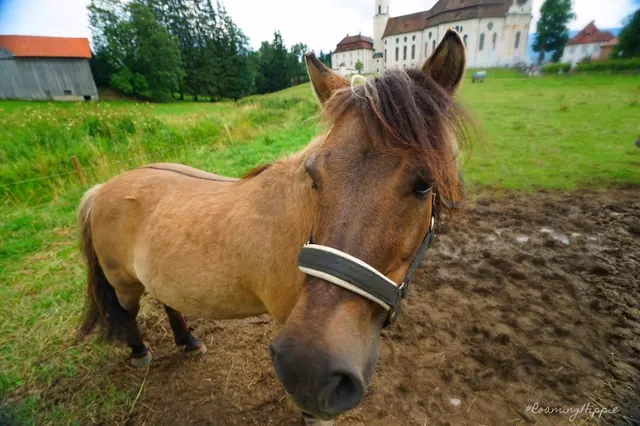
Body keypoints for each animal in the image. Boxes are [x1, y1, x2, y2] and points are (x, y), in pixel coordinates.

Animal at [77, 30, 469, 424]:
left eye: (424, 184)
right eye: (314, 177)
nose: (312, 369)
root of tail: (101, 190)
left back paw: (188, 342)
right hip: (124, 284)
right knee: (128, 313)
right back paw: (140, 352)